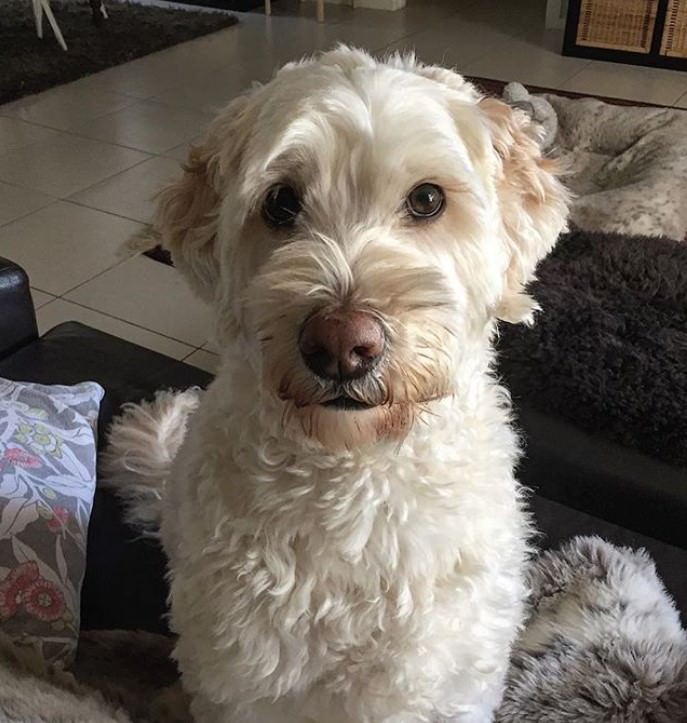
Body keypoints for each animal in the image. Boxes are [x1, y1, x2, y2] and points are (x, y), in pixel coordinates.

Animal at [103, 46, 568, 723]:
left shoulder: (450, 684)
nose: (343, 345)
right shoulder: (240, 681)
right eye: (280, 203)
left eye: (427, 199)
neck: (357, 475)